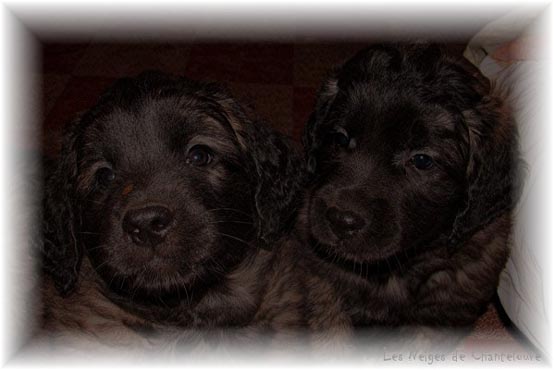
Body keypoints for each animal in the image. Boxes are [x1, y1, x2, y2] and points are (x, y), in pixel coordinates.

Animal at [274, 44, 520, 350]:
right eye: (340, 138)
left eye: (422, 160)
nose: (341, 220)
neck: (395, 269)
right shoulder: (320, 282)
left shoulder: (440, 314)